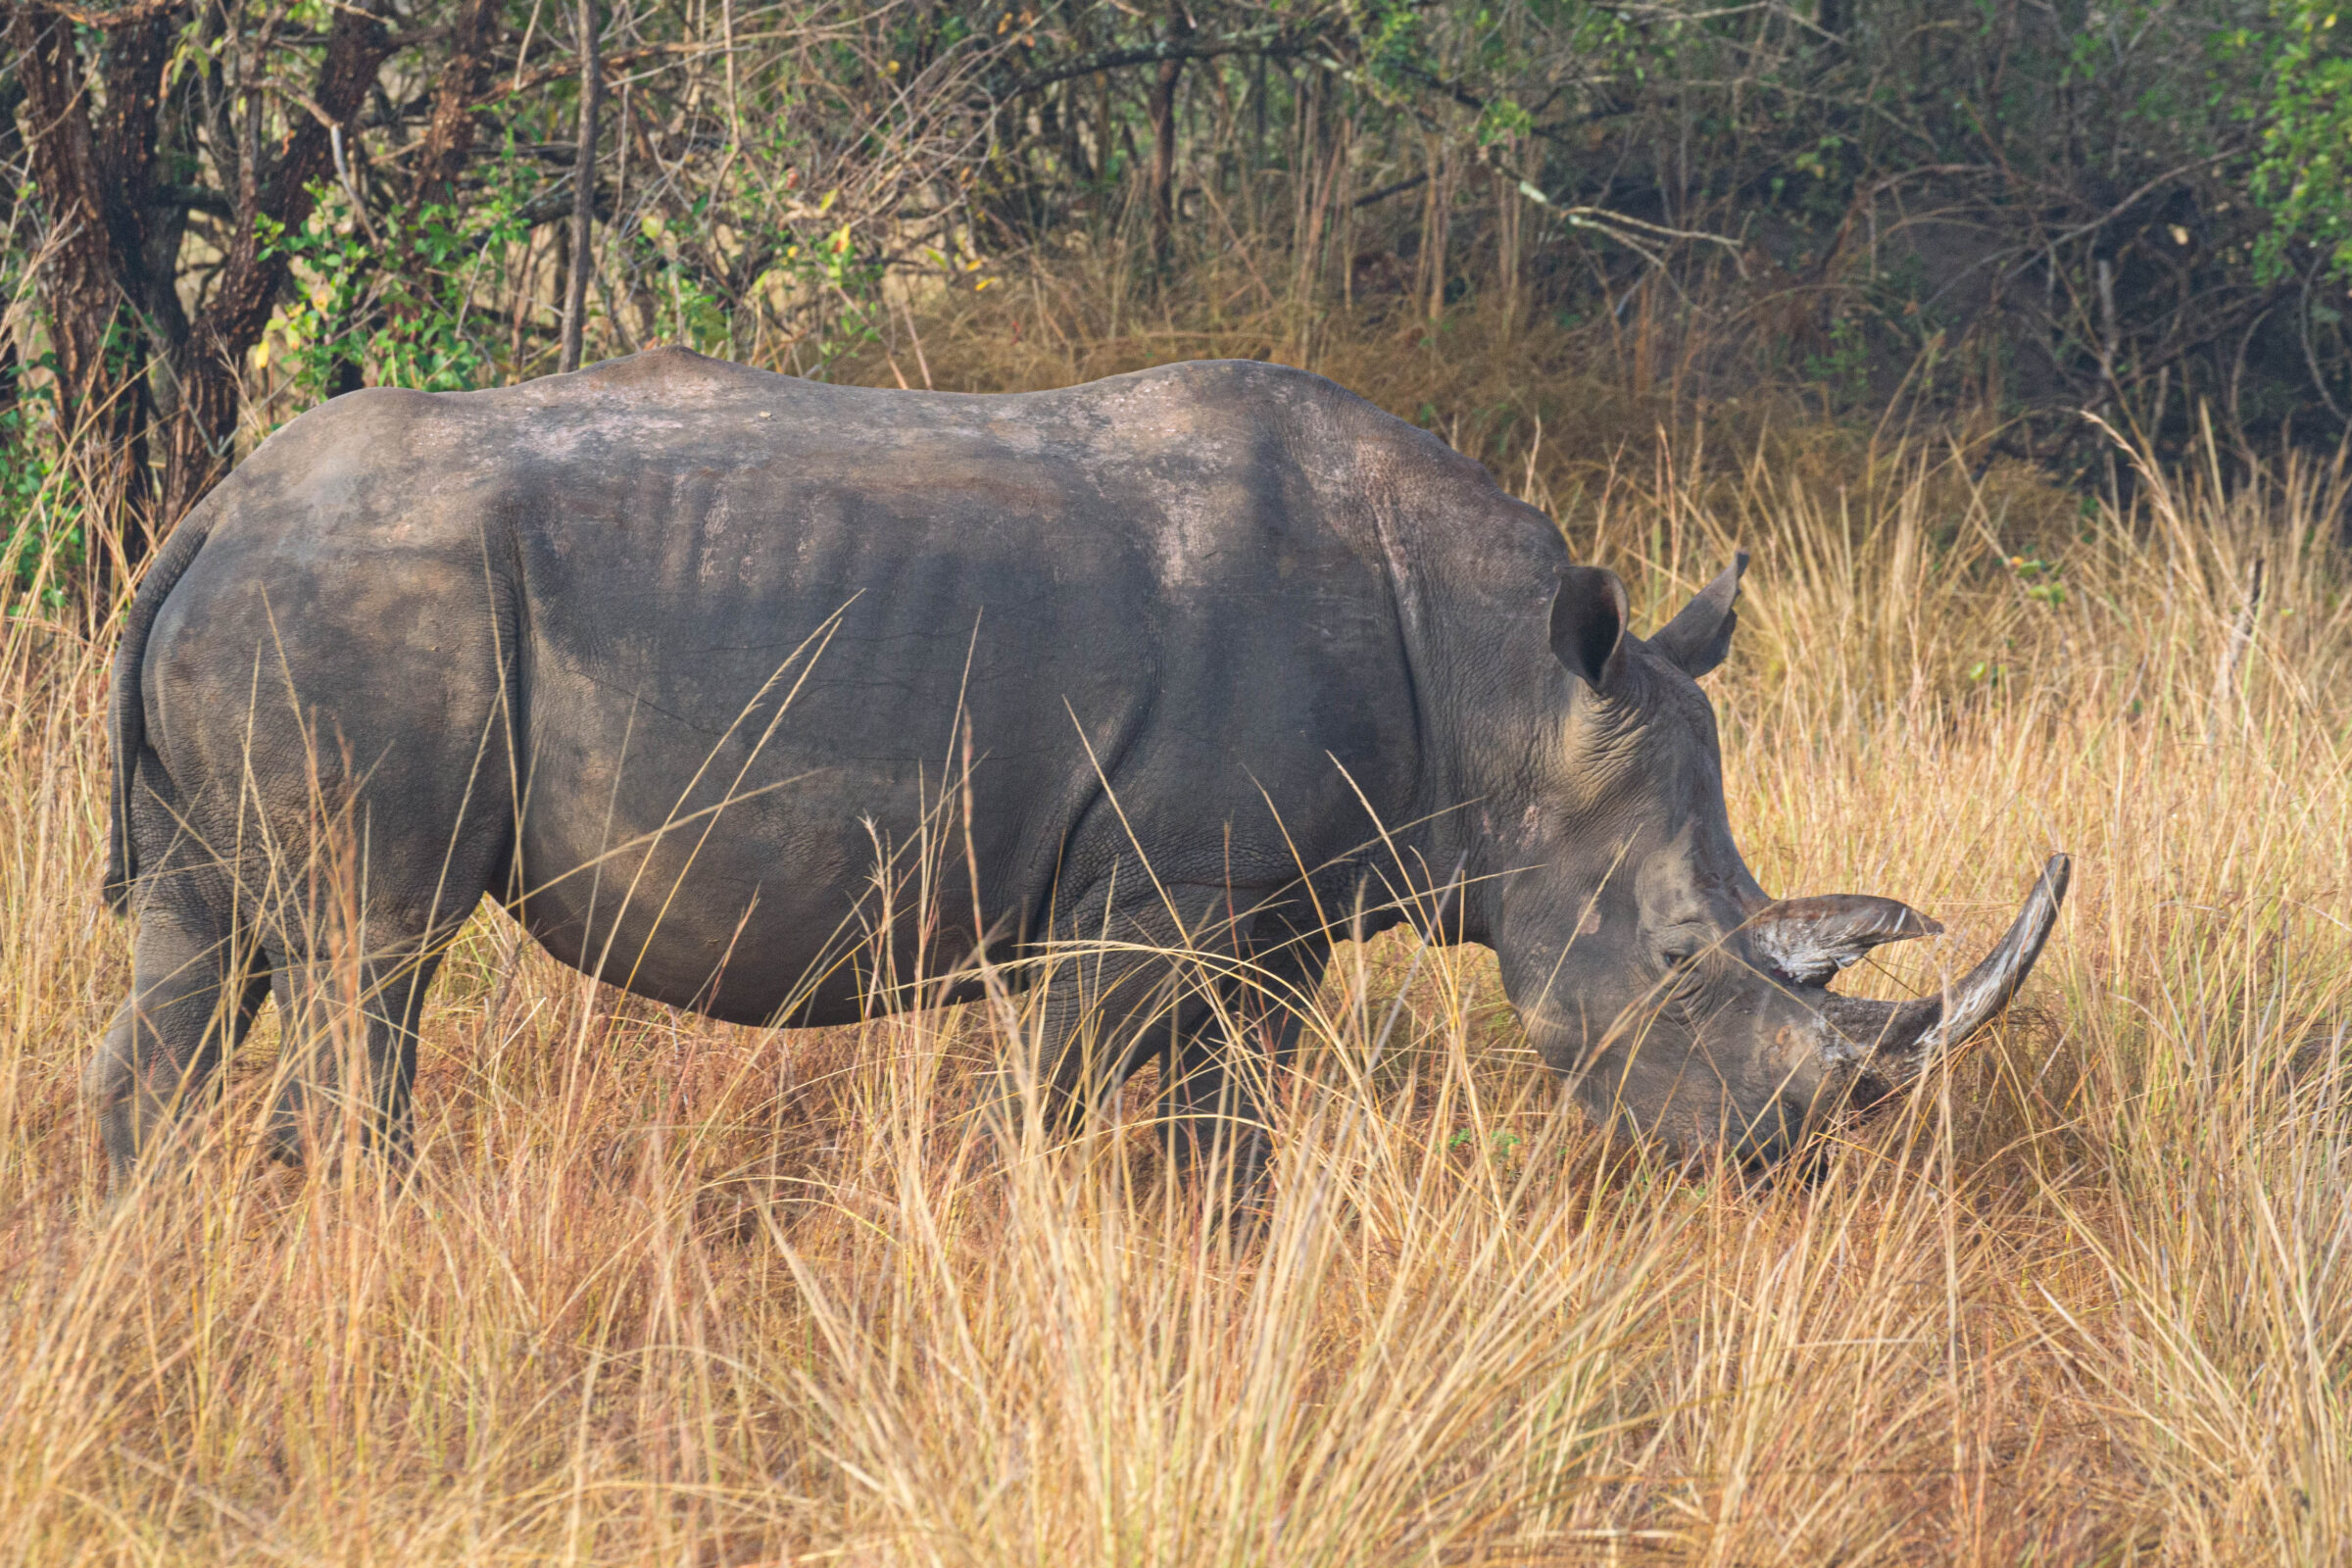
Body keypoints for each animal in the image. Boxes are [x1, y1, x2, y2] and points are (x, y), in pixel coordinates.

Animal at [91, 349, 2067, 1189]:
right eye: (1672, 960)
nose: (1780, 1167)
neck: (1508, 693)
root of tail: (206, 517)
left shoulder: (1271, 912)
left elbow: (1232, 1125)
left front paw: (1218, 1260)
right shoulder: (1144, 904)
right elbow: (1055, 1104)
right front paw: (1026, 1251)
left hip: (278, 612)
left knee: (201, 956)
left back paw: (149, 1249)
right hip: (361, 615)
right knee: (372, 958)